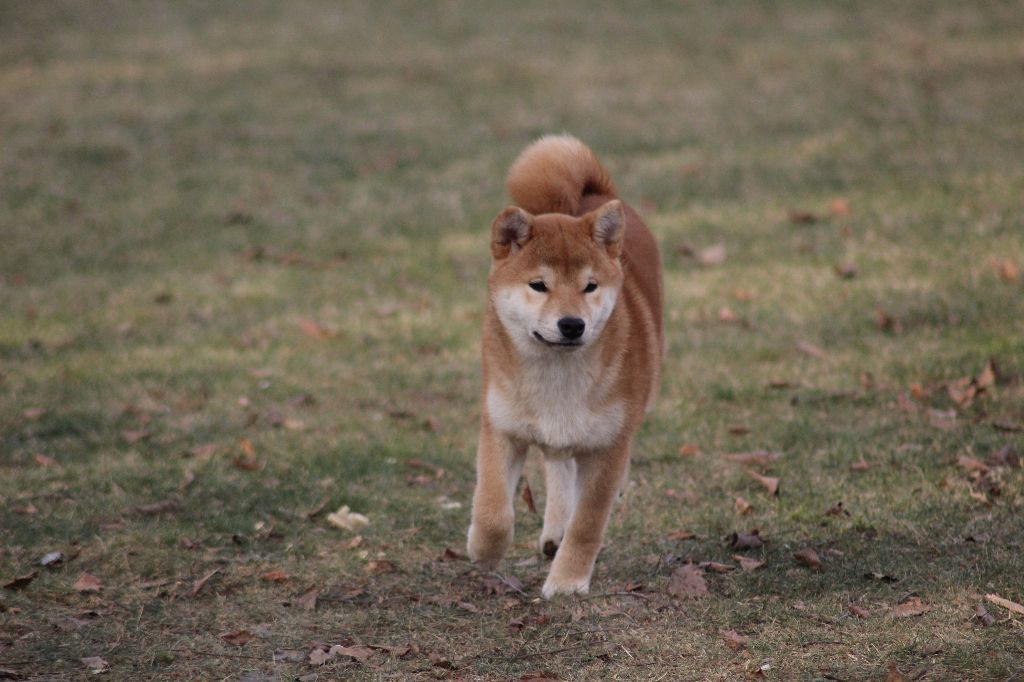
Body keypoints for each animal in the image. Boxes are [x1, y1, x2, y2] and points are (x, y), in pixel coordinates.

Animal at [466, 133, 663, 593]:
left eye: (590, 286)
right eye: (539, 285)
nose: (572, 324)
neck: (557, 375)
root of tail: (592, 193)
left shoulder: (608, 446)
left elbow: (588, 523)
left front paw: (569, 581)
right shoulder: (501, 427)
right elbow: (493, 509)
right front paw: (483, 550)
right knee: (557, 465)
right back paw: (554, 527)